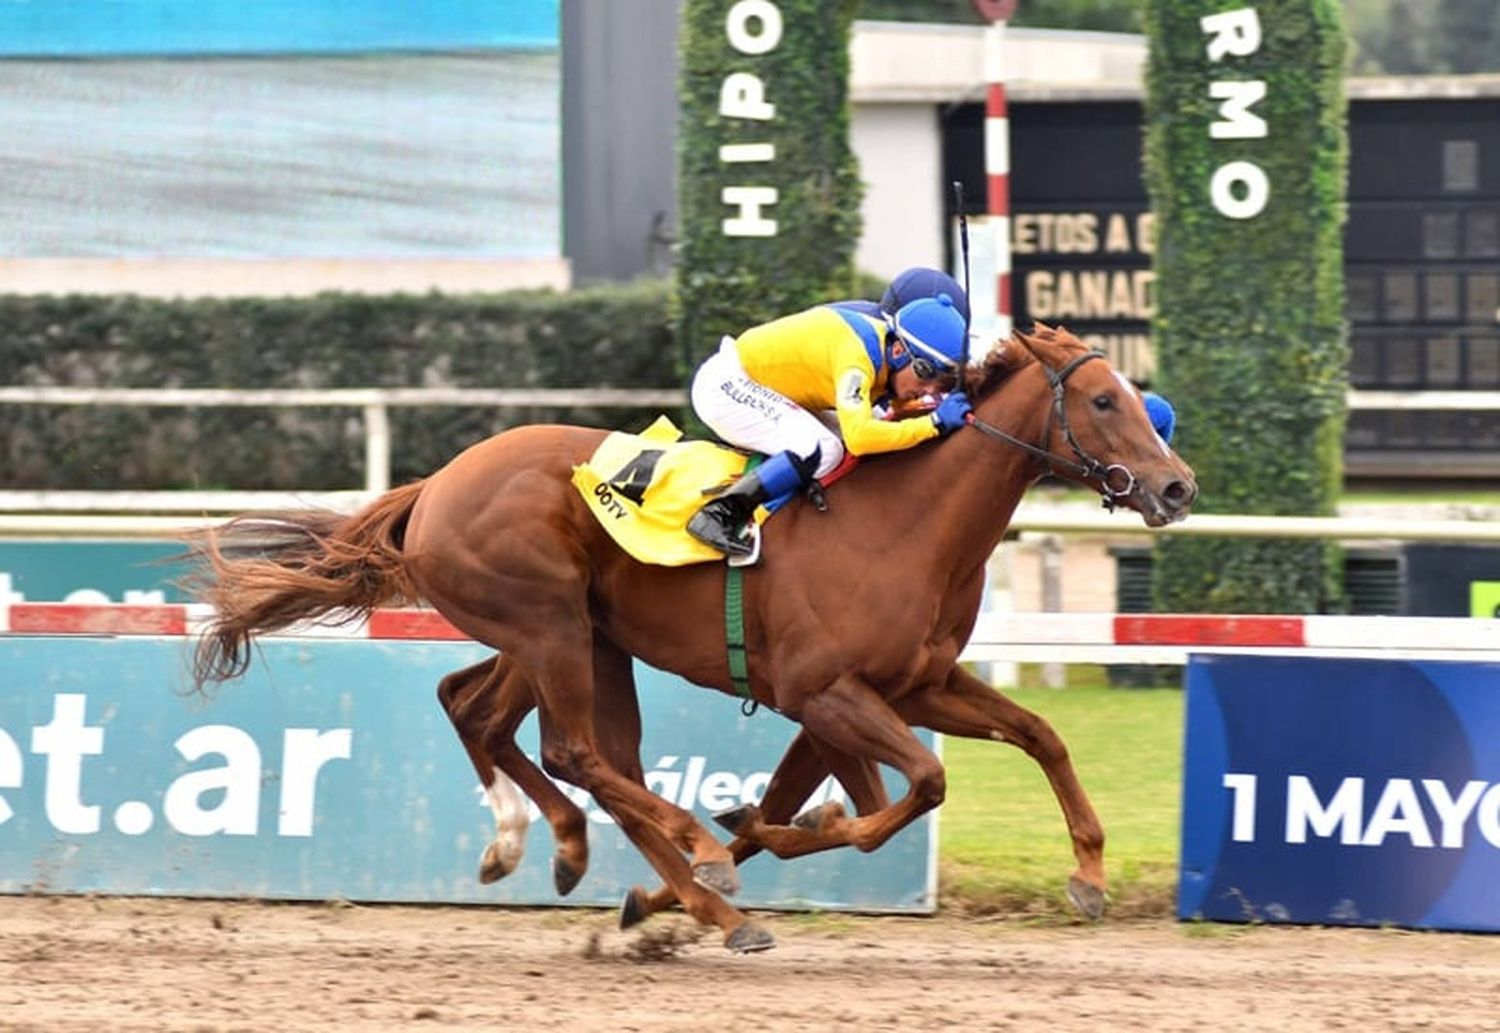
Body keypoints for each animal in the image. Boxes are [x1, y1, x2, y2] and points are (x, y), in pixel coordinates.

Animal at [184, 322, 1194, 953]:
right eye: (1105, 400)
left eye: (1140, 399)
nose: (1177, 485)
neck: (909, 522)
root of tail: (434, 486)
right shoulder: (827, 692)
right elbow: (908, 787)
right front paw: (757, 830)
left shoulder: (912, 684)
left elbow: (1032, 738)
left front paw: (1089, 874)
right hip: (550, 624)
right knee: (576, 751)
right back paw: (685, 858)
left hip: (571, 636)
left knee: (485, 713)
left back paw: (571, 852)